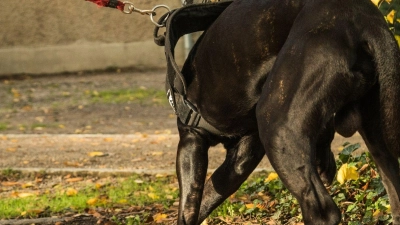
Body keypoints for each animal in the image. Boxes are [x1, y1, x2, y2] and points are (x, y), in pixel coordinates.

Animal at [170, 0, 400, 223]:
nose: (326, 171)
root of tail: (363, 20)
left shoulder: (192, 139)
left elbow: (189, 205)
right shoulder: (242, 157)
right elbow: (206, 197)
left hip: (277, 127)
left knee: (322, 211)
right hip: (376, 135)